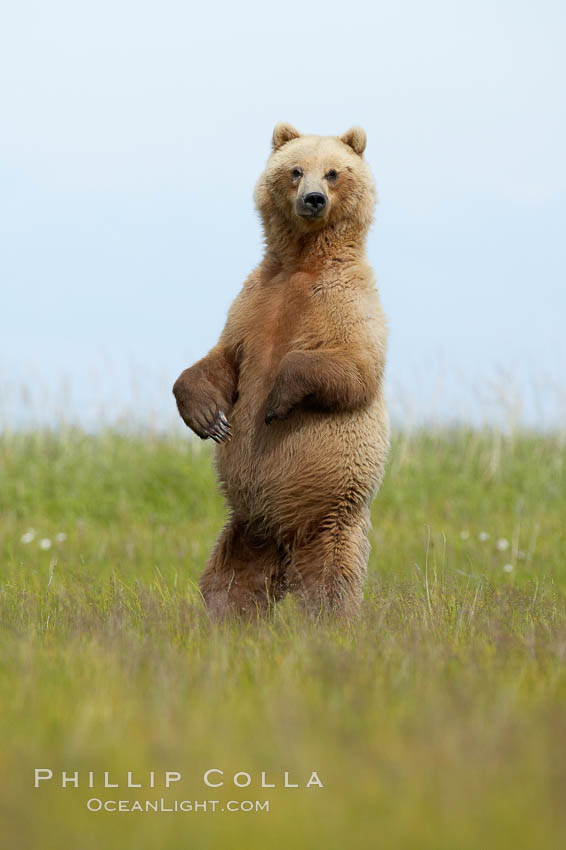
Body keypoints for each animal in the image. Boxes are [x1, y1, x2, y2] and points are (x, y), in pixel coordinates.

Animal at [174, 122, 390, 620]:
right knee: (229, 581)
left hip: (330, 510)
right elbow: (221, 360)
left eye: (333, 172)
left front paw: (275, 401)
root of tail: (283, 541)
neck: (302, 261)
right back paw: (225, 619)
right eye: (295, 170)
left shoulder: (347, 302)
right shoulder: (254, 302)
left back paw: (328, 620)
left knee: (330, 577)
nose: (313, 199)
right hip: (244, 523)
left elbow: (355, 368)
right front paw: (208, 418)